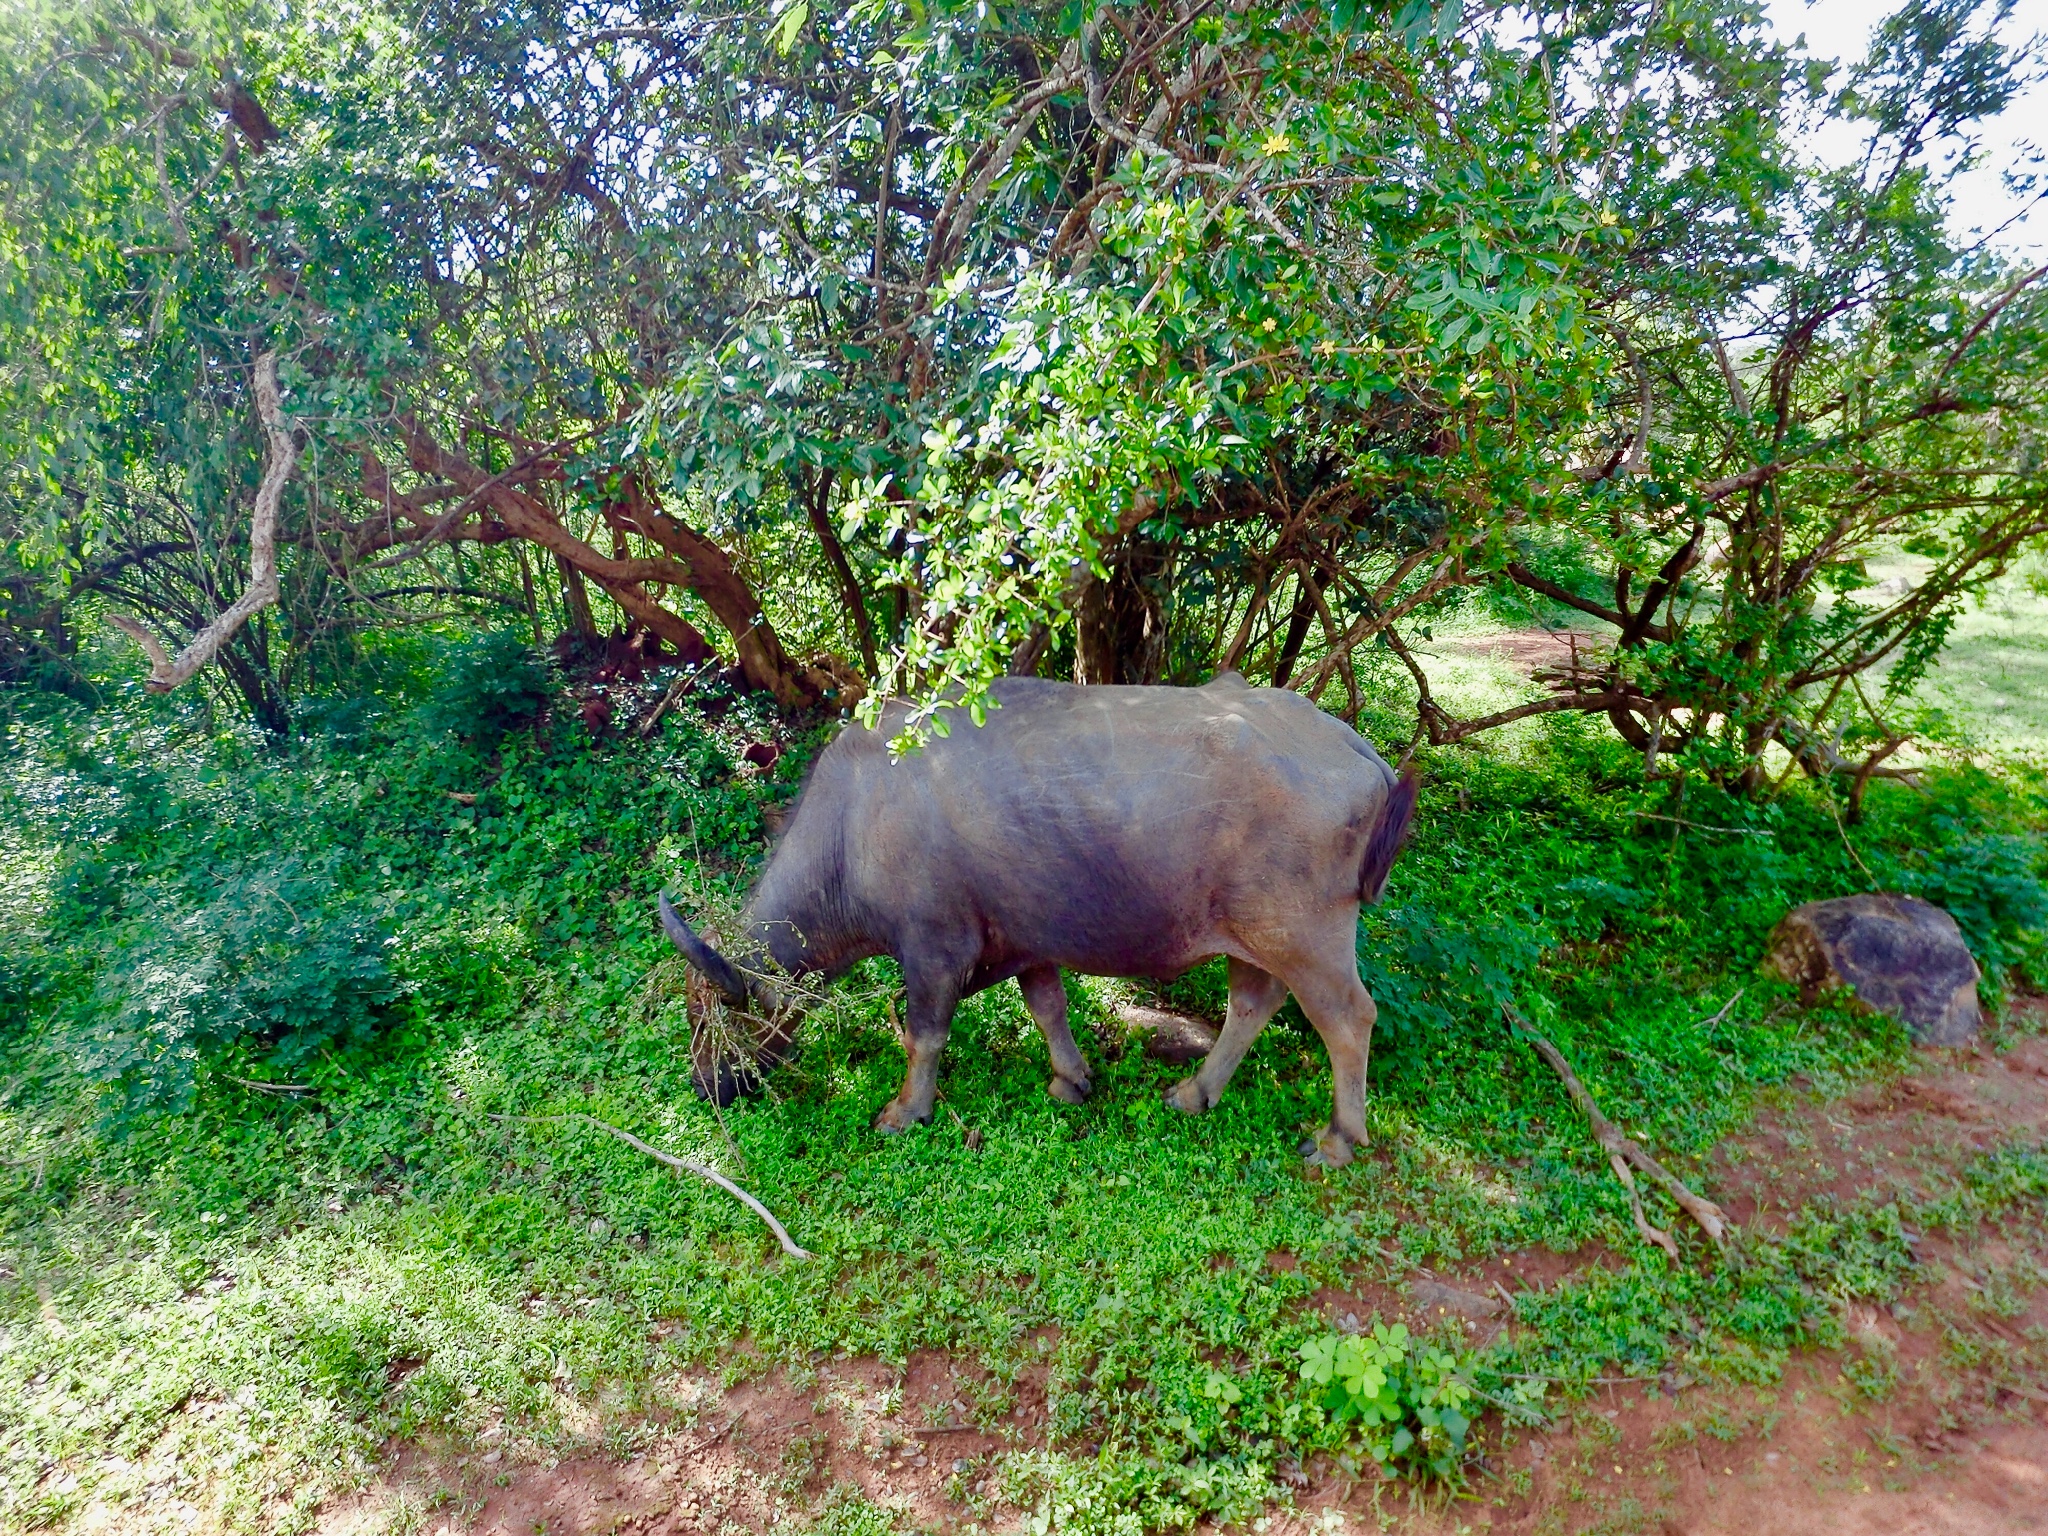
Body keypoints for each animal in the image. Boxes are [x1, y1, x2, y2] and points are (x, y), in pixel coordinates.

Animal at [663, 671, 1417, 1163]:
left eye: (716, 1020)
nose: (707, 1087)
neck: (856, 822)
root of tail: (1353, 747)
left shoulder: (932, 947)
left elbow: (924, 1036)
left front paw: (906, 1110)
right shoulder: (1027, 940)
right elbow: (1047, 1007)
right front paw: (1071, 1080)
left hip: (1307, 936)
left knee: (1347, 1019)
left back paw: (1339, 1137)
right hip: (1254, 937)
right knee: (1252, 1005)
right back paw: (1196, 1092)